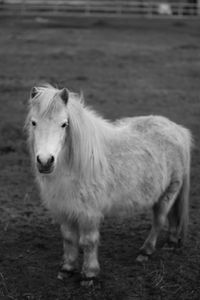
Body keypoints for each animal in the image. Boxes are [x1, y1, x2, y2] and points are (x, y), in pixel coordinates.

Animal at [25, 84, 191, 284]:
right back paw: (171, 242)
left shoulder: (89, 213)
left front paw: (89, 275)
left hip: (170, 191)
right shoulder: (64, 209)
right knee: (172, 216)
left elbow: (88, 242)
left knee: (159, 220)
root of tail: (177, 129)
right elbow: (69, 239)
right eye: (34, 123)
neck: (76, 164)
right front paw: (67, 268)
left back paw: (146, 252)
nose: (45, 161)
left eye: (64, 124)